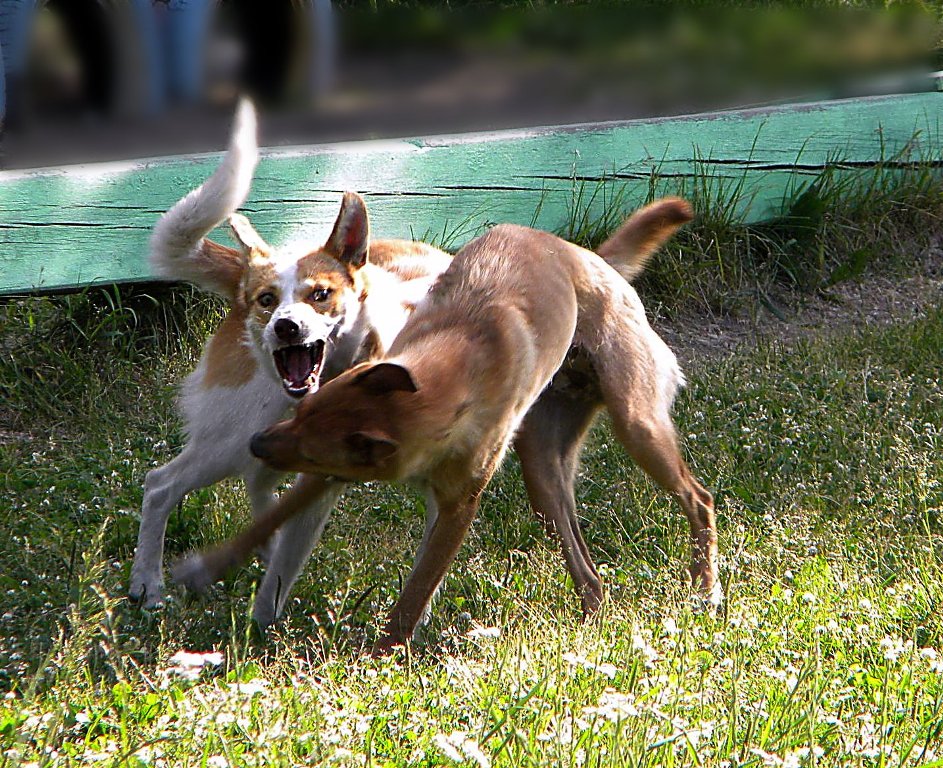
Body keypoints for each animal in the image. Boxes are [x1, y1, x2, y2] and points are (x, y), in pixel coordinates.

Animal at [173, 200, 720, 656]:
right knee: (589, 575)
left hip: (638, 425)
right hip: (544, 476)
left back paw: (705, 588)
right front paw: (209, 565)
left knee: (698, 497)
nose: (256, 444)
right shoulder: (332, 475)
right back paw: (593, 620)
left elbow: (416, 592)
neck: (447, 372)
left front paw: (381, 657)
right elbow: (266, 522)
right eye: (302, 418)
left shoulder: (456, 505)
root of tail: (588, 257)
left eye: (310, 445)